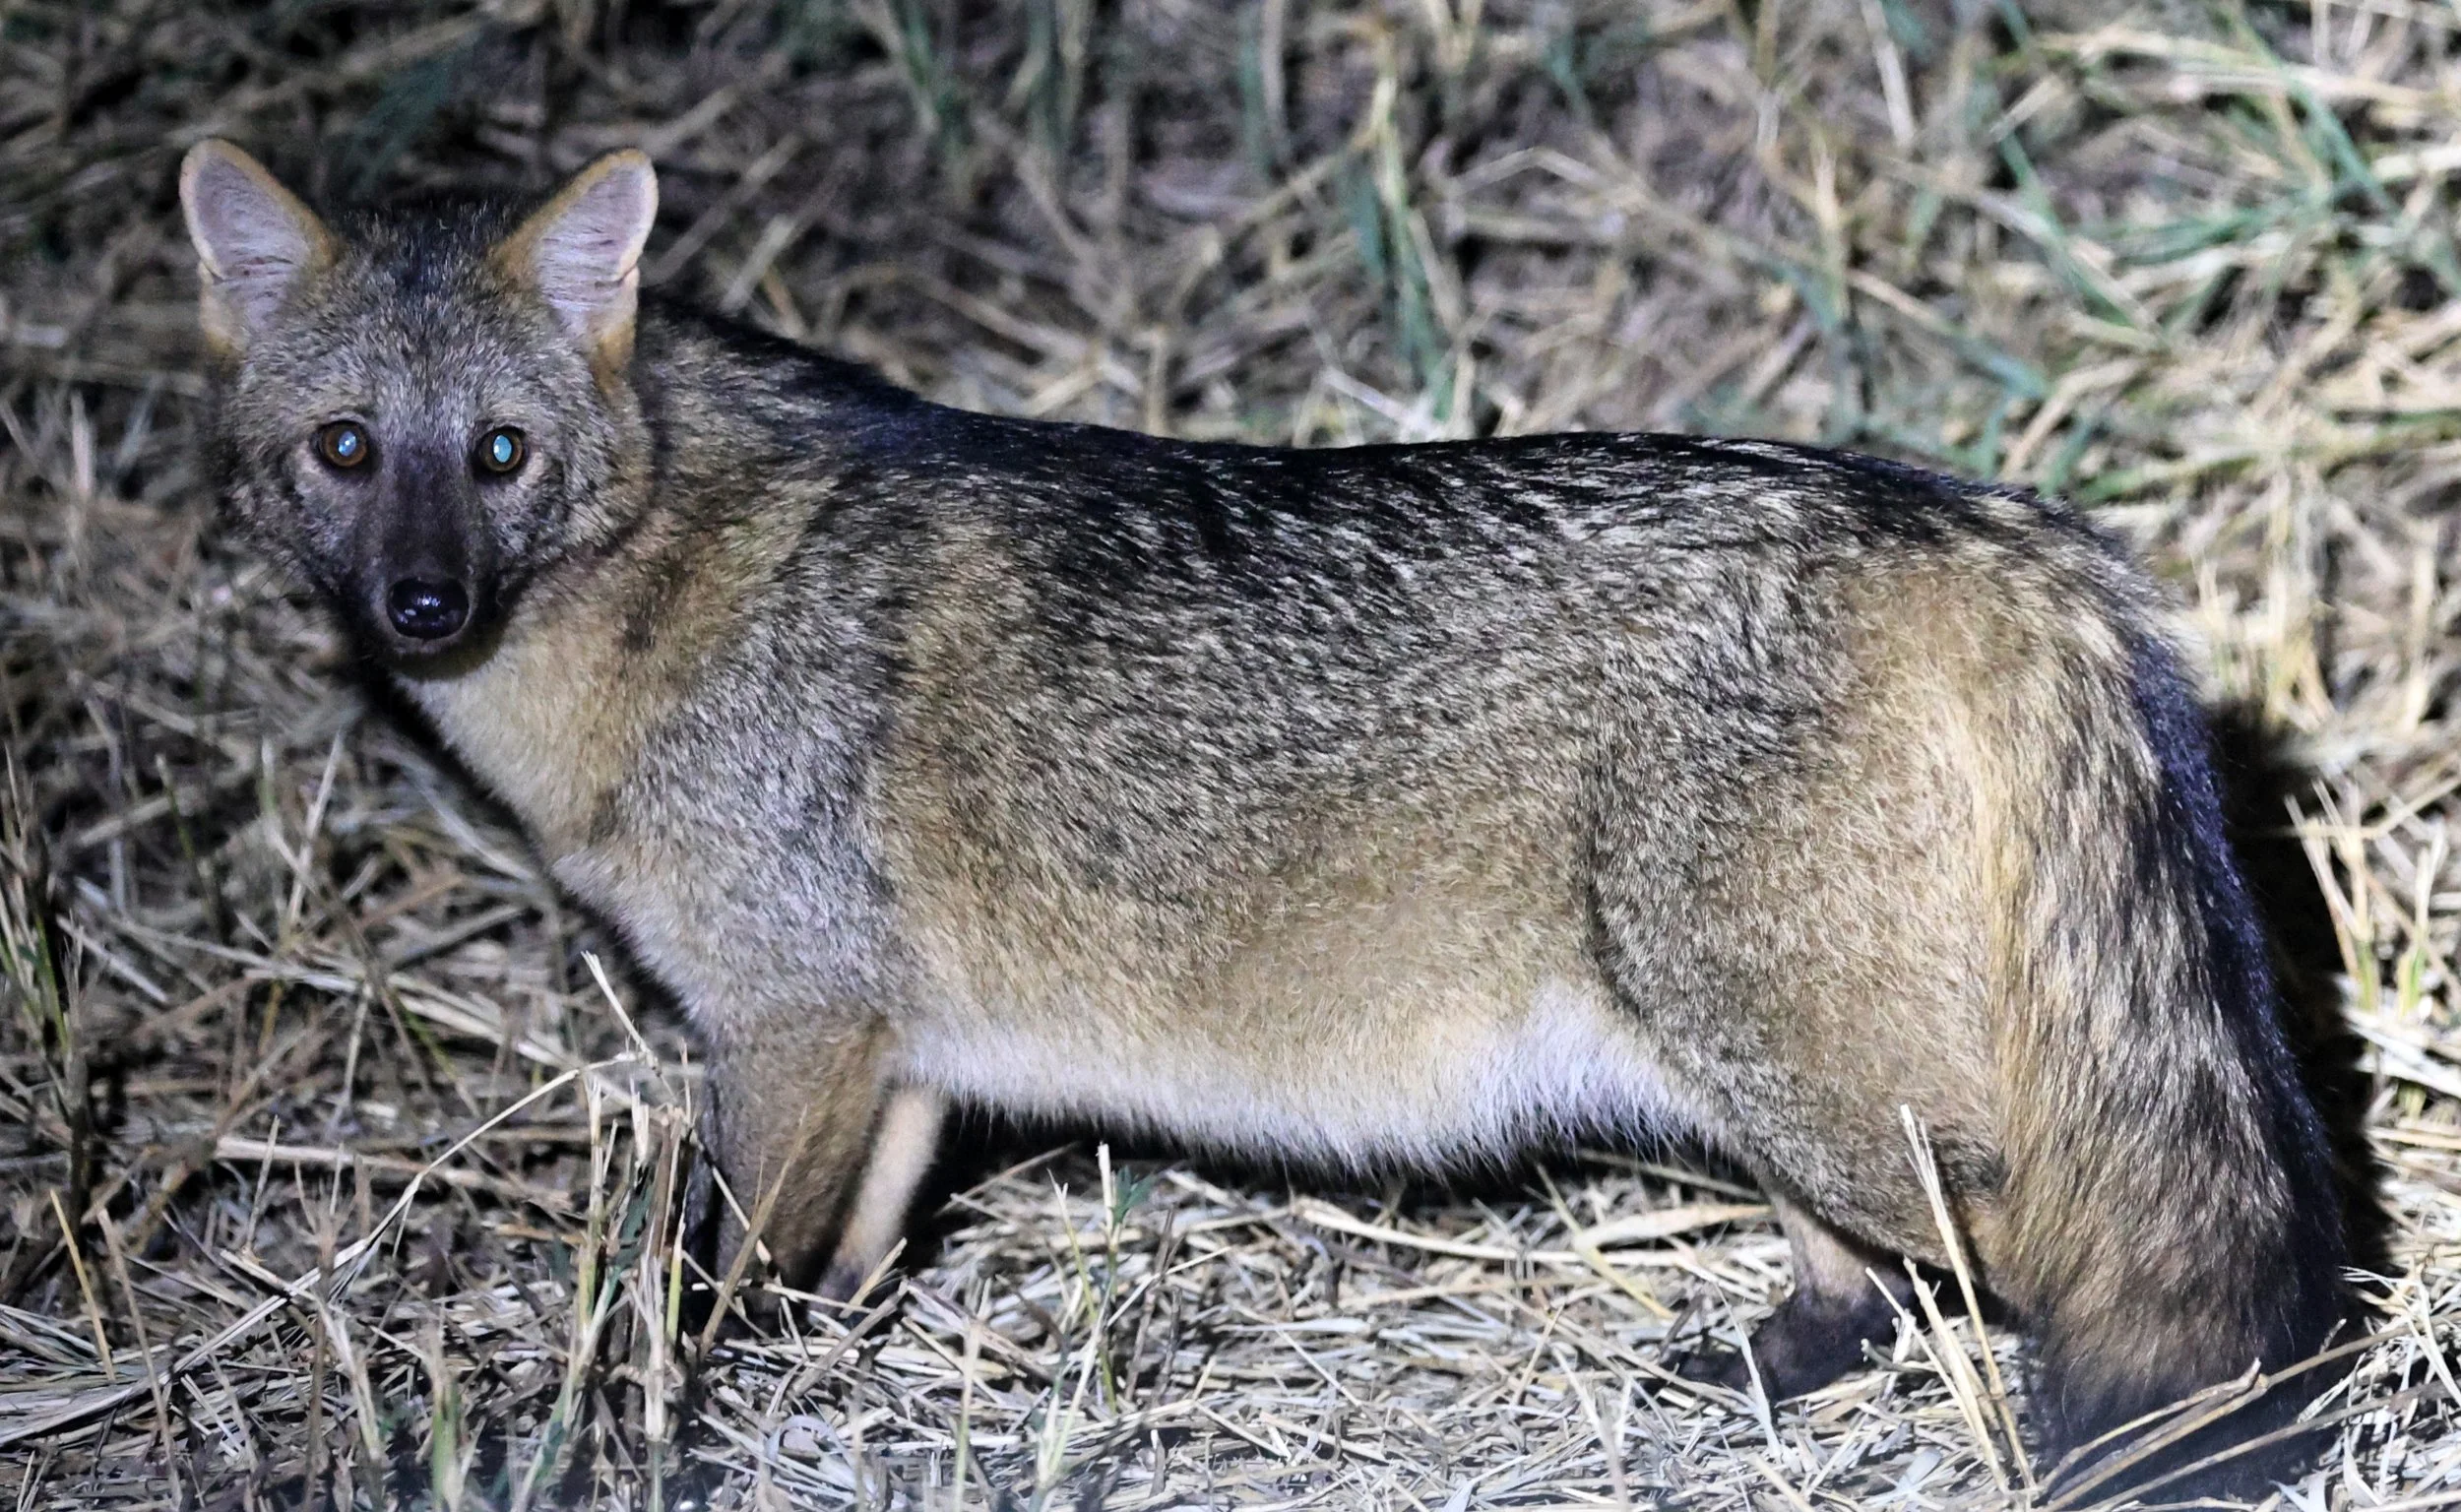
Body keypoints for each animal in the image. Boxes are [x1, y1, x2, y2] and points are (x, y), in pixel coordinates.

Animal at [180, 138, 2349, 1493]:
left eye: (499, 456)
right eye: (348, 453)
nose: (421, 608)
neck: (664, 599)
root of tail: (1976, 519)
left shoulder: (789, 1031)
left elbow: (700, 1291)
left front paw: (652, 1426)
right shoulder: (890, 1068)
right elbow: (835, 1277)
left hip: (1828, 1084)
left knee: (2043, 1264)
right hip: (1775, 1083)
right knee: (1874, 1278)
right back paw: (1769, 1362)